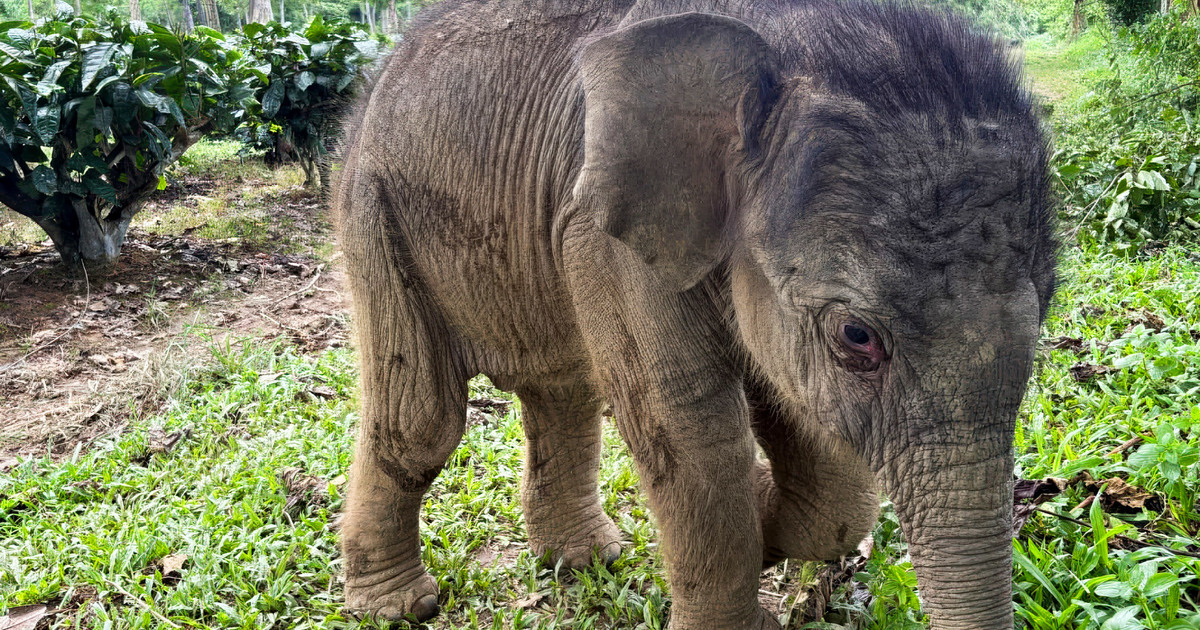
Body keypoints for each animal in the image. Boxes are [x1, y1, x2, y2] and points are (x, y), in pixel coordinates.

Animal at [332, 1, 1057, 629]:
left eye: (1046, 307)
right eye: (857, 336)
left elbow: (806, 433)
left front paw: (765, 516)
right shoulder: (606, 242)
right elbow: (690, 429)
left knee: (563, 392)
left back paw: (587, 558)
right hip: (374, 213)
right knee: (420, 421)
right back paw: (398, 607)